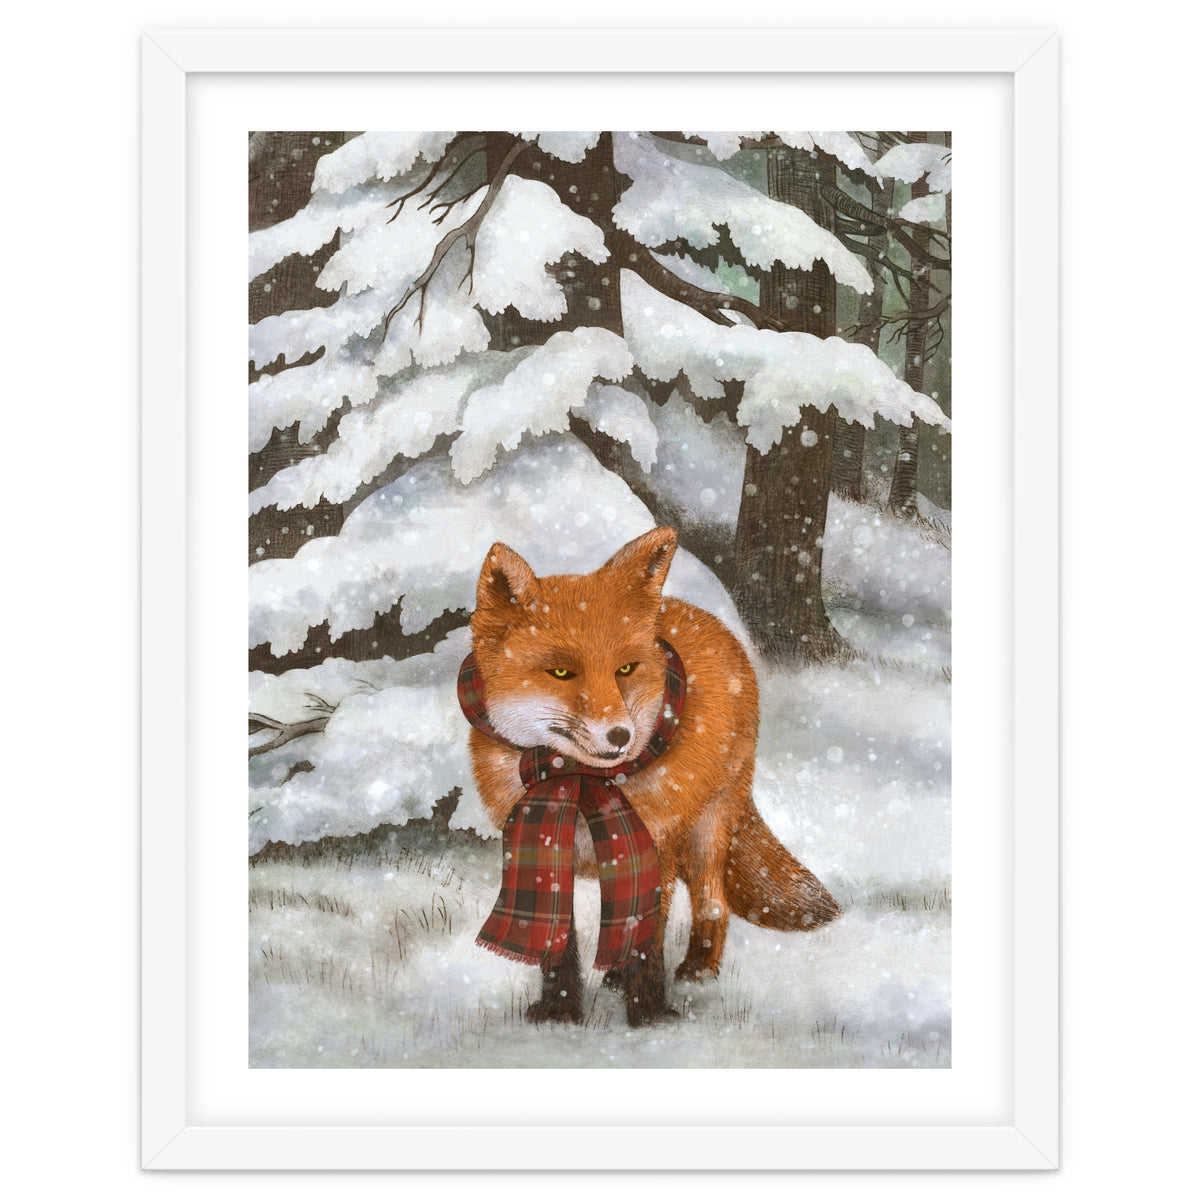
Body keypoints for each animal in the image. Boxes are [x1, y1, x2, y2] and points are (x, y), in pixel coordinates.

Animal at [464, 526, 839, 1027]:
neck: (578, 781)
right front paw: (558, 1012)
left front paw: (648, 1015)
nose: (620, 735)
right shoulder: (546, 846)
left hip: (705, 832)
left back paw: (698, 969)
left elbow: (647, 939)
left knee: (711, 902)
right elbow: (559, 940)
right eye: (561, 672)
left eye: (625, 669)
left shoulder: (652, 844)